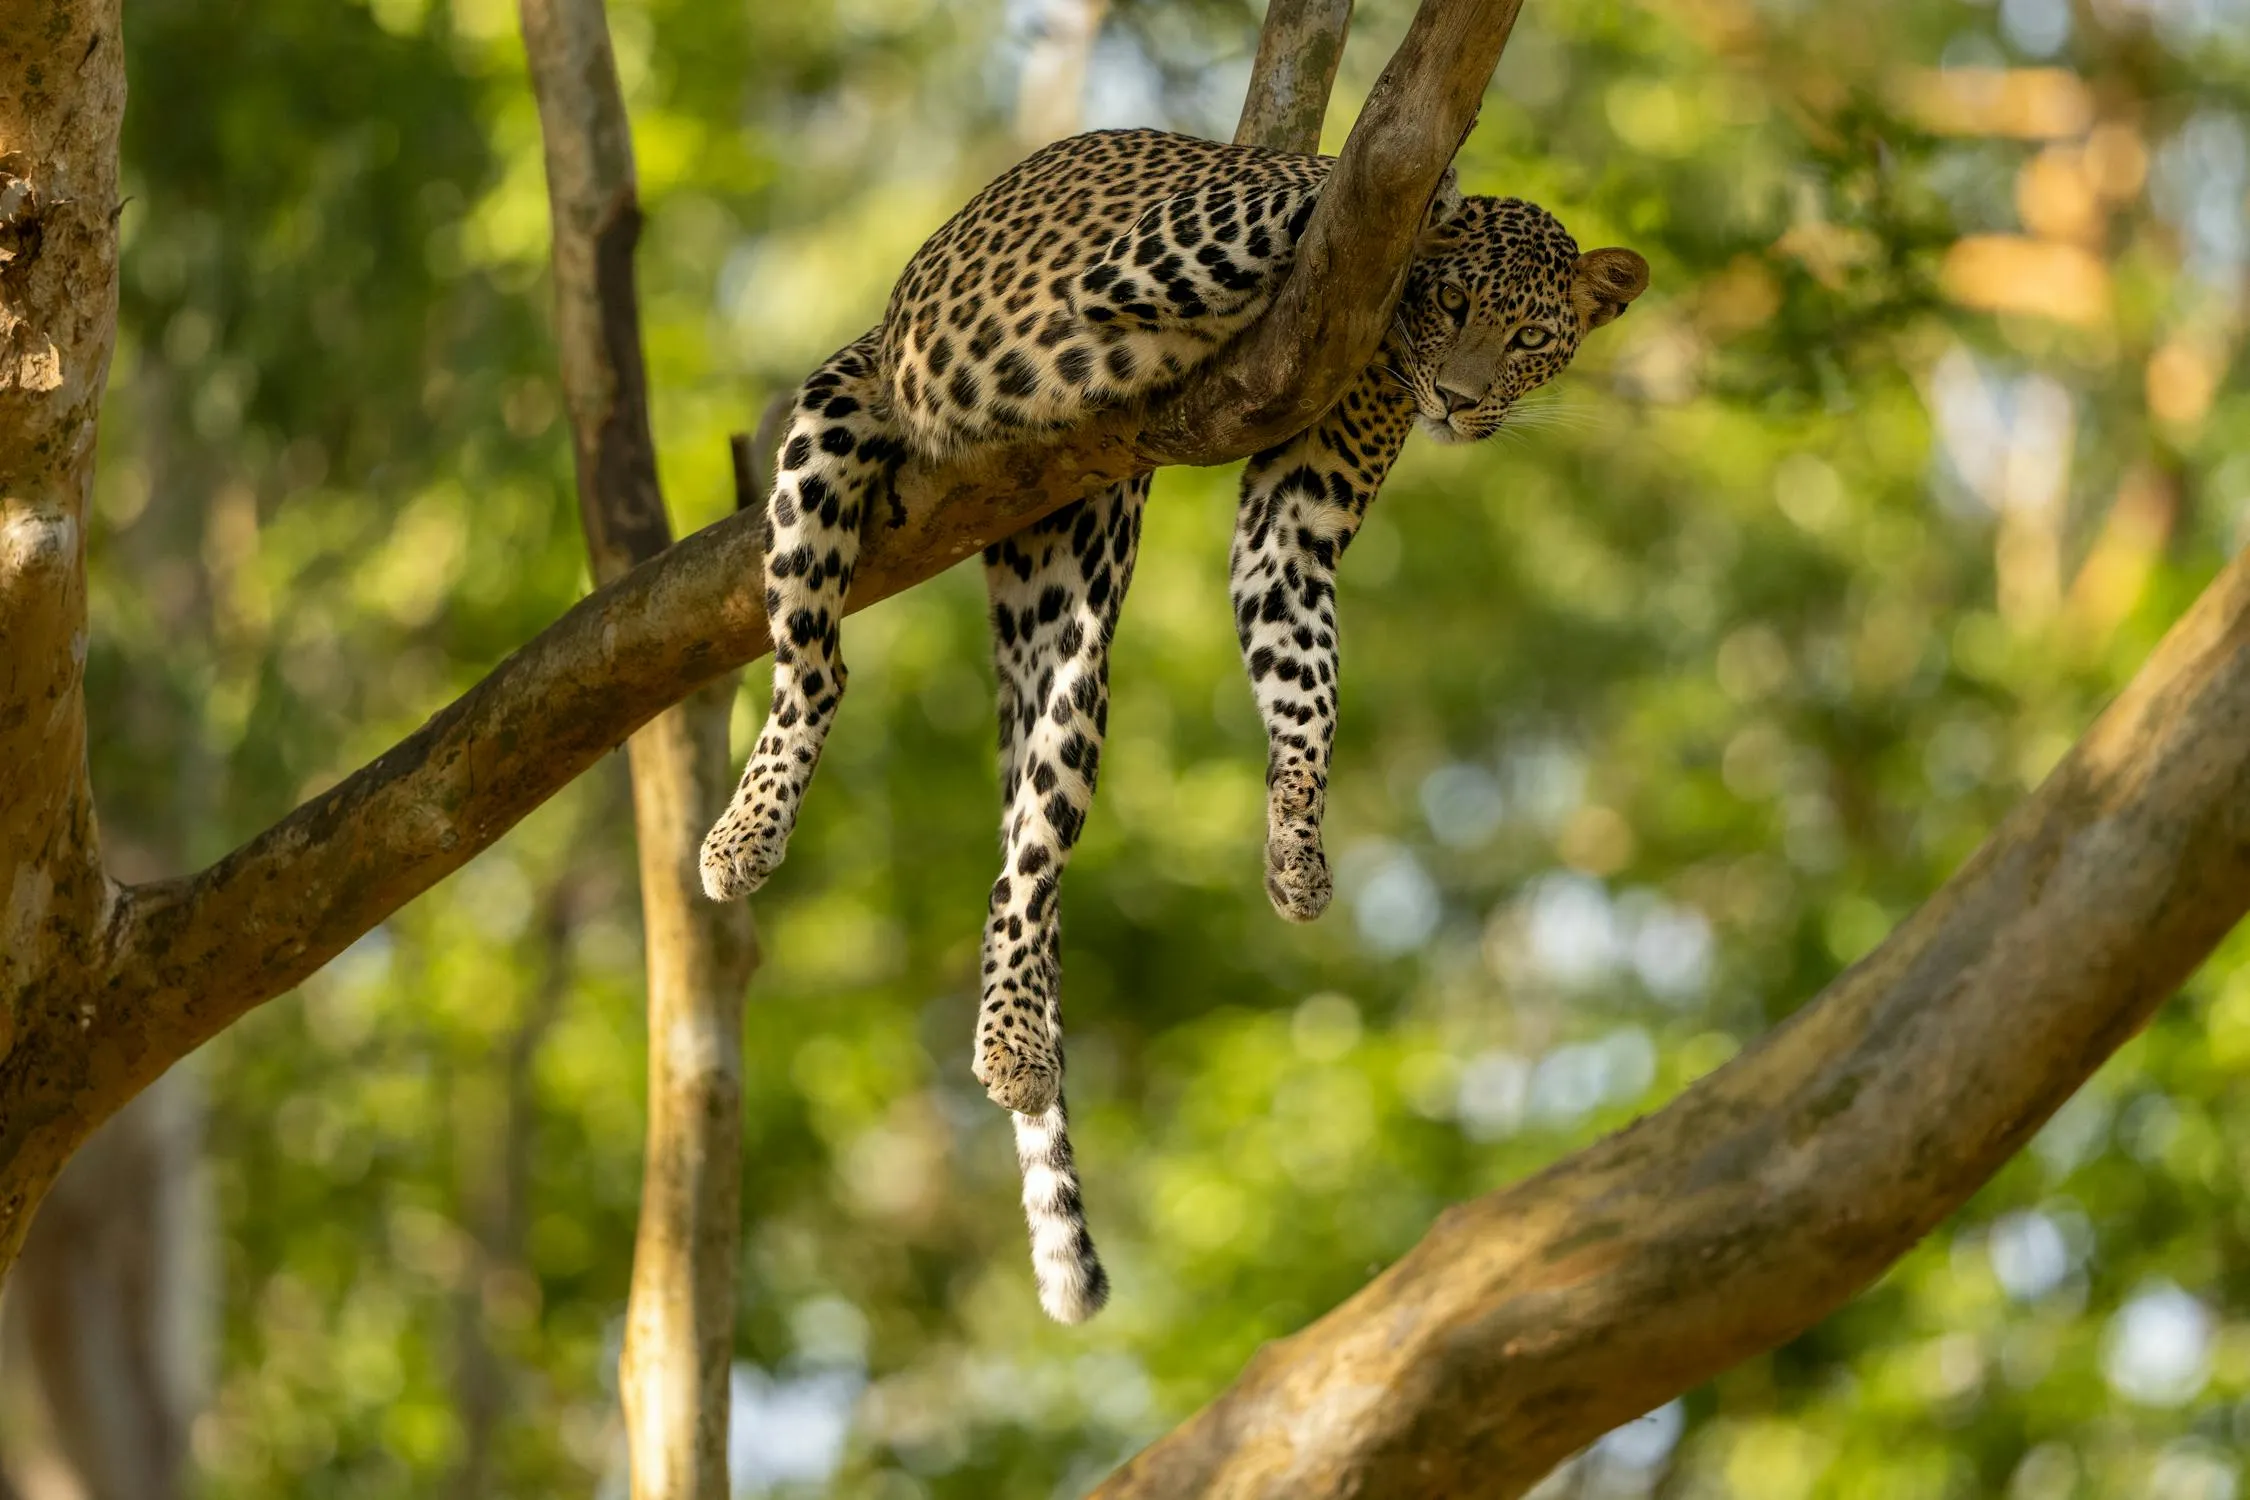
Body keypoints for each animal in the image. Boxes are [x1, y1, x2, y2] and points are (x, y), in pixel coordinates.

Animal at [697, 127, 1648, 1324]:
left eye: (1527, 340)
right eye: (1448, 301)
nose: (1458, 399)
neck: (1374, 335)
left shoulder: (1296, 518)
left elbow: (1307, 687)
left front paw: (1297, 850)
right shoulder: (1169, 249)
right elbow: (1343, 182)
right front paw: (1436, 177)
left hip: (1071, 614)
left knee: (1031, 849)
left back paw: (1015, 1037)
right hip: (838, 415)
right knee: (814, 666)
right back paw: (744, 836)